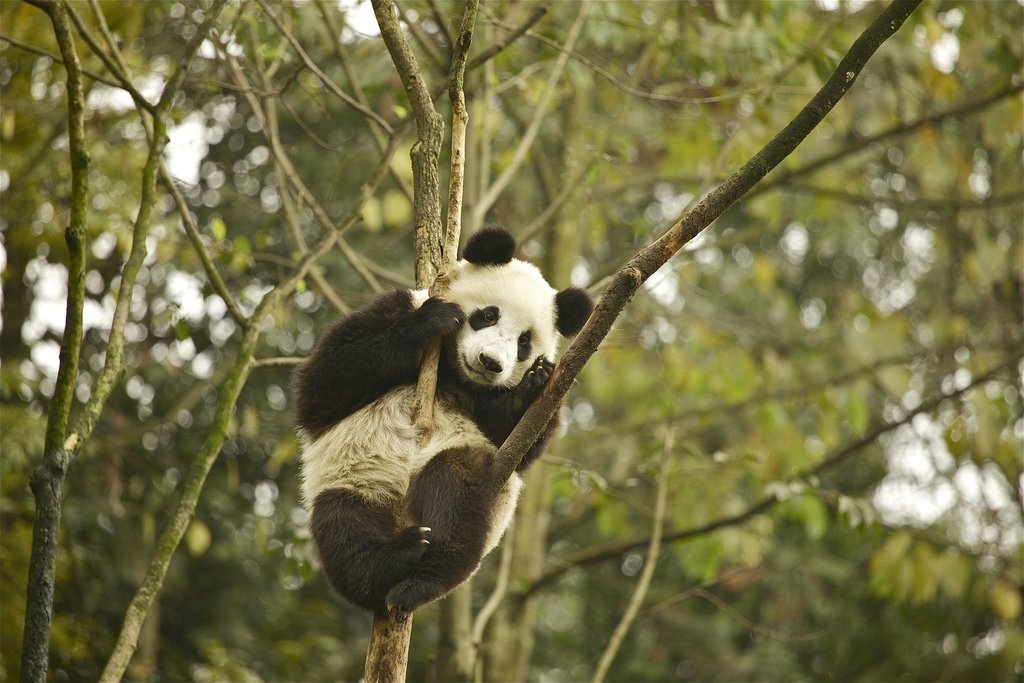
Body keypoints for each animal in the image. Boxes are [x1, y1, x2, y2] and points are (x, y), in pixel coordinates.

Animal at [290, 227, 593, 618]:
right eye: (488, 314)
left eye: (524, 341)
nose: (491, 362)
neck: (455, 373)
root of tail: (402, 512)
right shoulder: (396, 306)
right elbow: (323, 383)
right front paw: (432, 321)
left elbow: (515, 439)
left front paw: (532, 384)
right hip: (355, 478)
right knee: (343, 528)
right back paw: (391, 560)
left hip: (464, 472)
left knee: (457, 493)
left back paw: (422, 577)